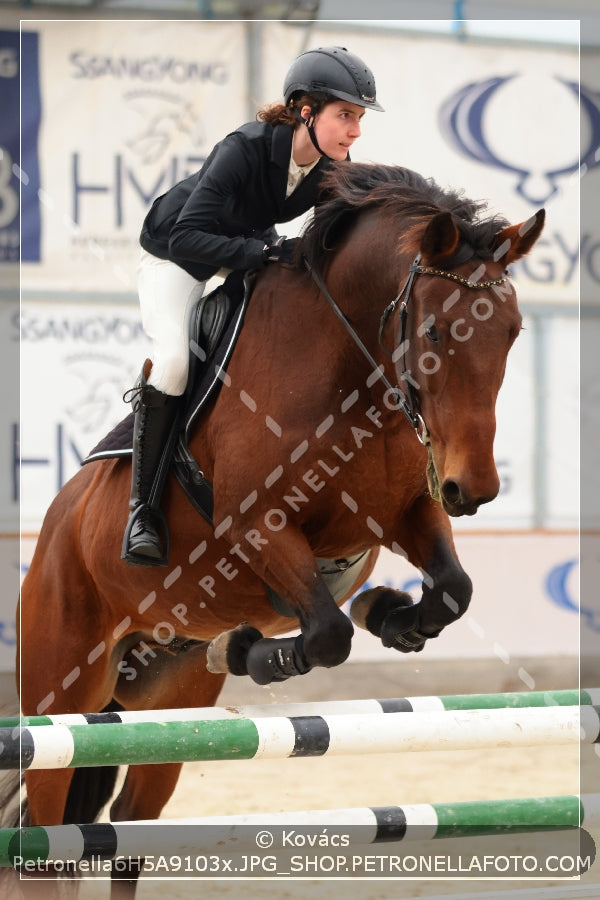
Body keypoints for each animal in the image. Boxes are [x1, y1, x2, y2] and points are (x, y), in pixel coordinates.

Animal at [15, 165, 548, 896]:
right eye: (438, 332)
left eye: (514, 332)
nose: (475, 490)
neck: (354, 372)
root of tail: (51, 535)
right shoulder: (259, 525)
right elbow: (326, 633)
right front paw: (248, 650)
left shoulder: (407, 511)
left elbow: (451, 590)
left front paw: (391, 615)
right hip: (60, 693)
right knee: (47, 829)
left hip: (169, 707)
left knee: (128, 826)